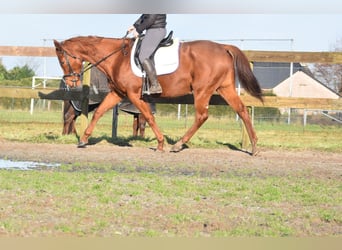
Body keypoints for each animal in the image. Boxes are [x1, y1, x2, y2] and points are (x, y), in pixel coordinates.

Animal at [53, 36, 264, 155]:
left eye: (62, 60)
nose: (71, 83)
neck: (117, 57)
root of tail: (223, 47)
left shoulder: (134, 95)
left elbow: (148, 117)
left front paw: (161, 144)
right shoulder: (118, 93)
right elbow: (98, 112)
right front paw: (83, 139)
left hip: (202, 90)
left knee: (202, 116)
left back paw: (178, 144)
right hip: (225, 88)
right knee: (242, 110)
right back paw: (254, 146)